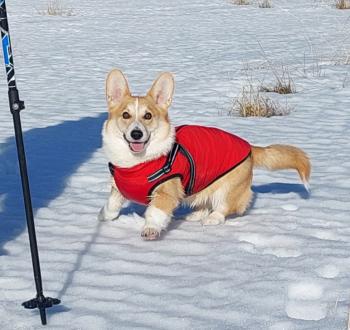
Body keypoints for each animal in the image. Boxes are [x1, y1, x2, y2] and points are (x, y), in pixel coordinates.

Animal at [99, 69, 312, 240]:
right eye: (126, 115)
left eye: (148, 116)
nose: (136, 134)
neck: (138, 163)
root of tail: (250, 147)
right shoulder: (117, 189)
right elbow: (112, 205)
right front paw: (103, 215)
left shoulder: (166, 193)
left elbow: (155, 212)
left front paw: (150, 230)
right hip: (201, 184)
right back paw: (195, 215)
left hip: (227, 188)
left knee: (224, 207)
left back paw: (211, 219)